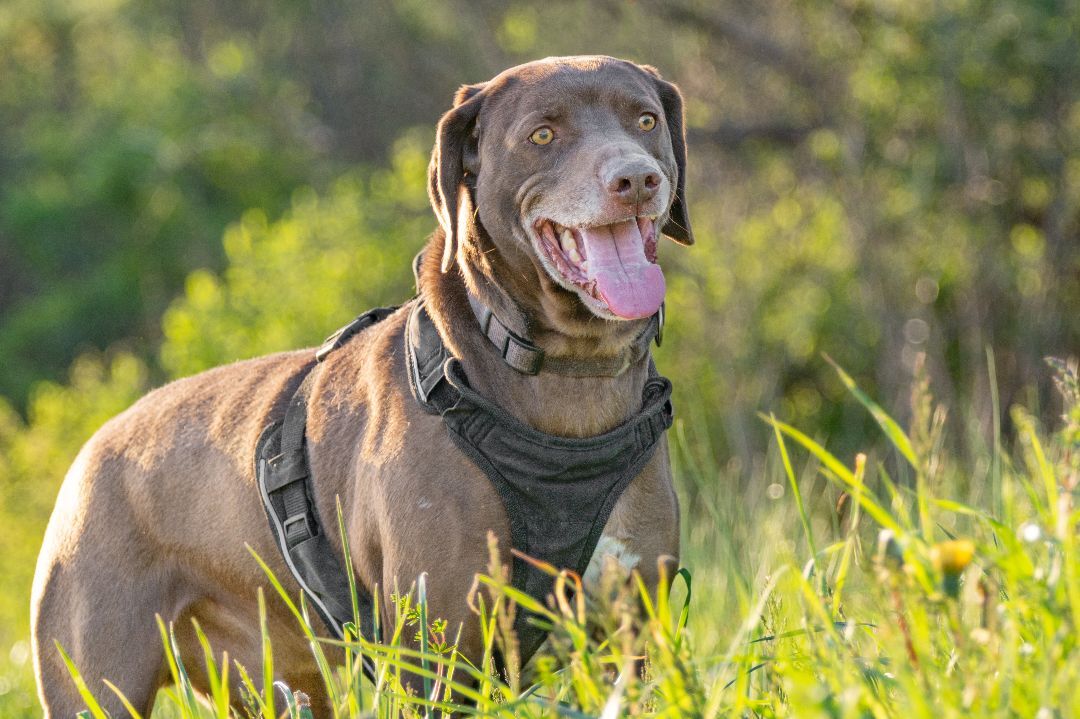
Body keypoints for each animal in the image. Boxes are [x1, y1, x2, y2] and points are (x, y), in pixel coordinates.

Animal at [33, 54, 695, 712]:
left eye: (645, 120)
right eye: (542, 135)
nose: (636, 180)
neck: (570, 377)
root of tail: (89, 452)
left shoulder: (632, 632)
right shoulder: (436, 650)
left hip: (276, 683)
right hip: (95, 680)